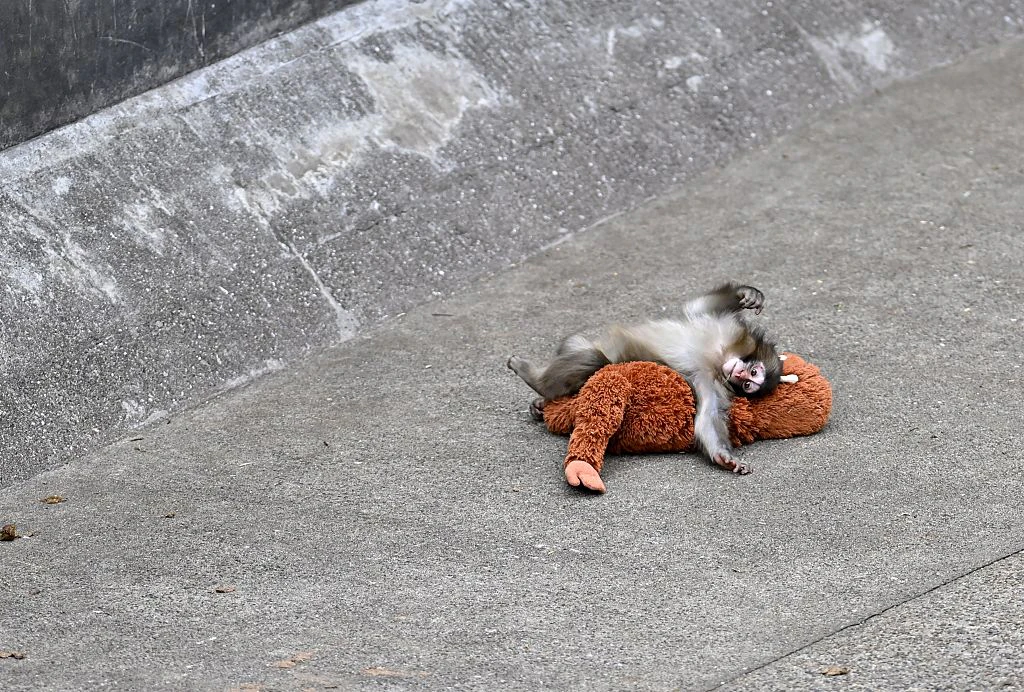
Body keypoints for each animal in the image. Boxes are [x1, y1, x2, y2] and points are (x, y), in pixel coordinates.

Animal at [507, 282, 782, 475]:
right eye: (753, 373)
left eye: (748, 384)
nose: (739, 374)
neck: (719, 358)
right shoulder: (728, 330)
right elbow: (698, 306)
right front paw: (747, 294)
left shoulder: (711, 383)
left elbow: (707, 417)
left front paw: (724, 458)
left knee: (595, 360)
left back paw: (538, 388)